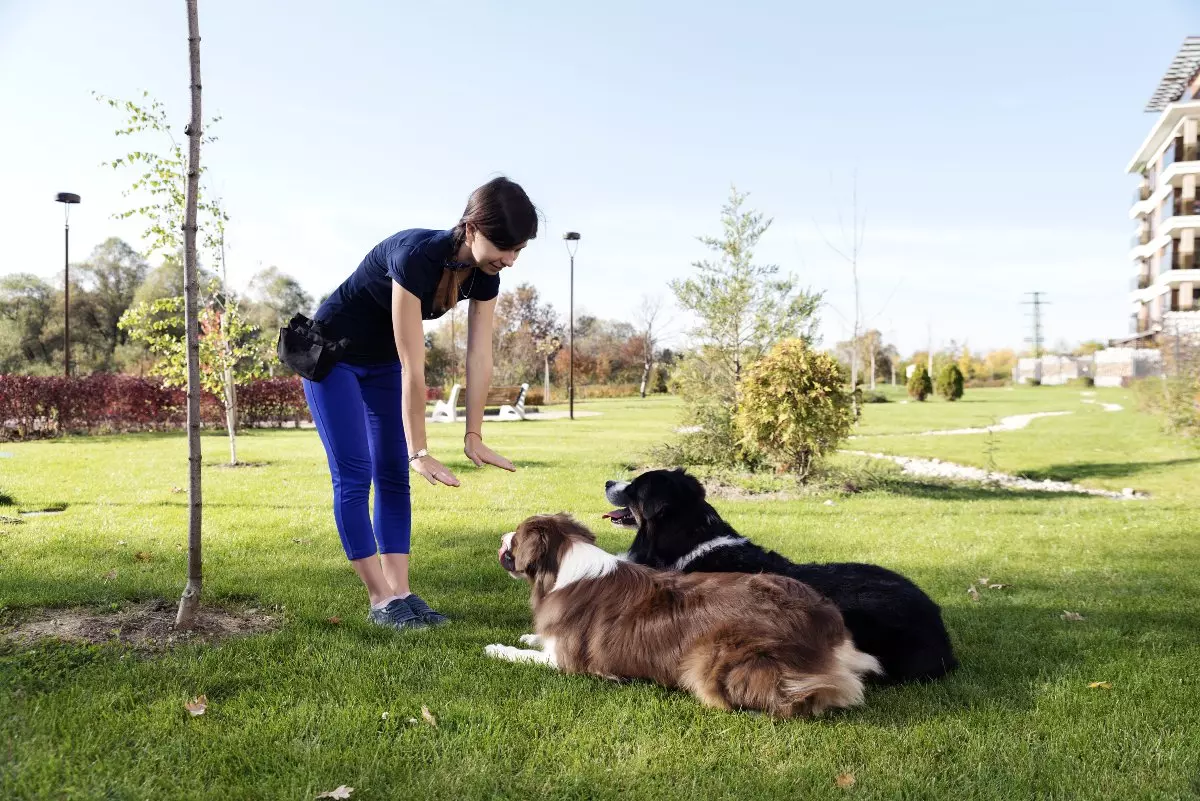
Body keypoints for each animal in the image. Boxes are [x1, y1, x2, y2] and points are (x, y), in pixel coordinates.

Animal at [484, 513, 883, 719]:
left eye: (515, 538)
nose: (500, 537)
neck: (564, 564)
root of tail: (826, 625)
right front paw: (528, 635)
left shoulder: (565, 661)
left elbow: (523, 655)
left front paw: (497, 648)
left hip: (713, 660)